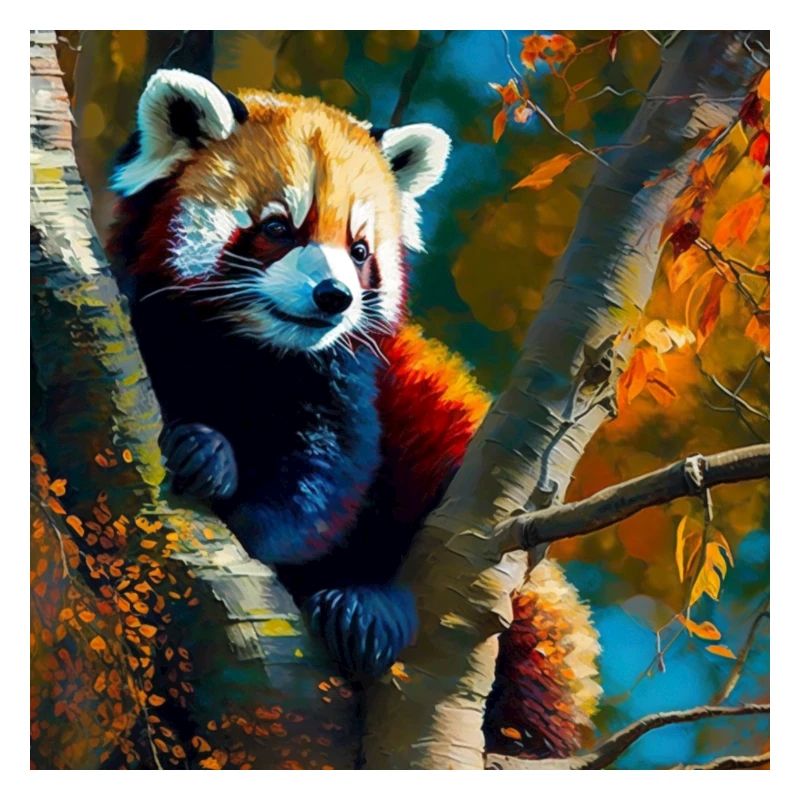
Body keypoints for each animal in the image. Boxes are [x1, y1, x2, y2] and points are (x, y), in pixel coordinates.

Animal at [108, 69, 601, 759]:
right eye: (278, 228)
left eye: (360, 249)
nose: (333, 296)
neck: (247, 351)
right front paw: (206, 452)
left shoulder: (349, 381)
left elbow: (323, 489)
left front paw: (240, 505)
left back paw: (370, 610)